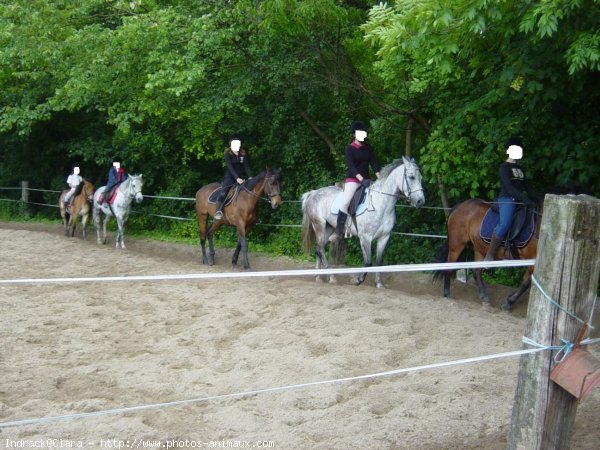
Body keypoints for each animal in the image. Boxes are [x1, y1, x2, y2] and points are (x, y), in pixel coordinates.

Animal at [302, 156, 424, 286]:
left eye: (420, 178)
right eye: (411, 177)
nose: (420, 201)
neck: (381, 204)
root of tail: (313, 193)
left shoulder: (384, 237)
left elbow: (379, 262)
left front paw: (379, 283)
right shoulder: (365, 238)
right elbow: (368, 262)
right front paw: (358, 280)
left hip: (329, 227)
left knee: (319, 248)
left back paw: (319, 277)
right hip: (319, 225)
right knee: (320, 248)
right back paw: (332, 277)